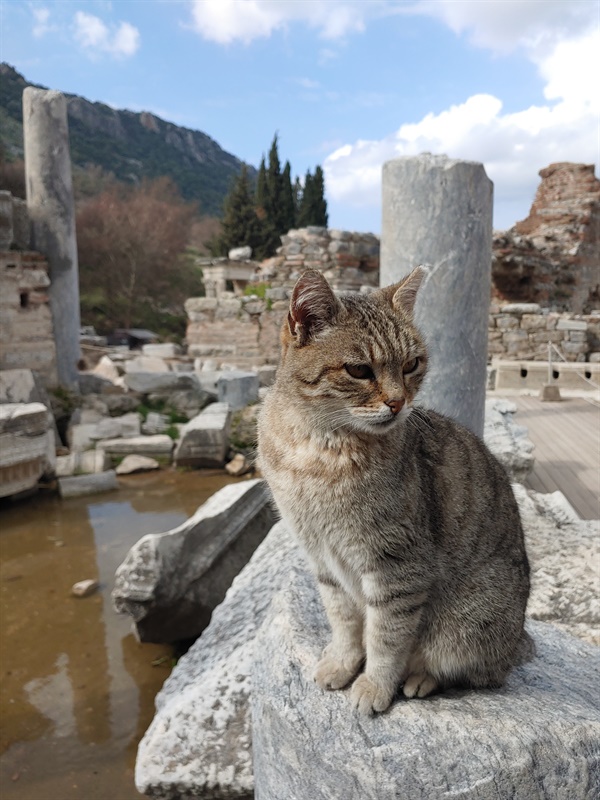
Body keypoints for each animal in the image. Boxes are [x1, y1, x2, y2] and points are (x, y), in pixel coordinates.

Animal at [255, 266, 532, 716]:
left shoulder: (398, 566)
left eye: (411, 364)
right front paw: (341, 663)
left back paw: (421, 678)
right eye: (359, 370)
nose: (399, 402)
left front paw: (373, 686)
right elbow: (344, 621)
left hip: (467, 624)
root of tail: (520, 638)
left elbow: (386, 638)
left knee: (475, 671)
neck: (318, 448)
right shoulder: (320, 556)